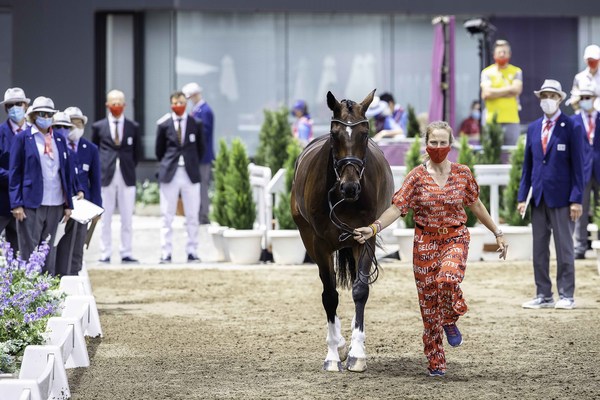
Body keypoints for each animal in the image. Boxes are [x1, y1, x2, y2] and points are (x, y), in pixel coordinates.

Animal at [290, 90, 394, 372]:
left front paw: (358, 354)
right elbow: (330, 295)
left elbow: (360, 291)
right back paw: (338, 344)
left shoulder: (365, 238)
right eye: (335, 134)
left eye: (365, 133)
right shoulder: (319, 245)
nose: (350, 187)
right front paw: (333, 355)